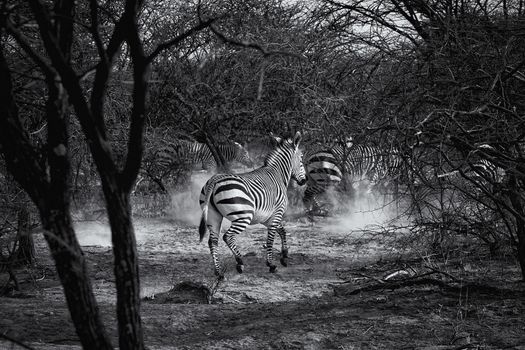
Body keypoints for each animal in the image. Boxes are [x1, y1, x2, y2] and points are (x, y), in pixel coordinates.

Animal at [200, 132, 308, 278]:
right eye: (301, 159)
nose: (304, 180)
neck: (278, 174)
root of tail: (214, 180)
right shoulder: (277, 212)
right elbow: (271, 237)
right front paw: (271, 264)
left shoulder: (265, 217)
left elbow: (282, 231)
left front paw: (284, 256)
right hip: (243, 216)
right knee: (228, 236)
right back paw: (239, 262)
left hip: (213, 216)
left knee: (213, 241)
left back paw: (219, 272)